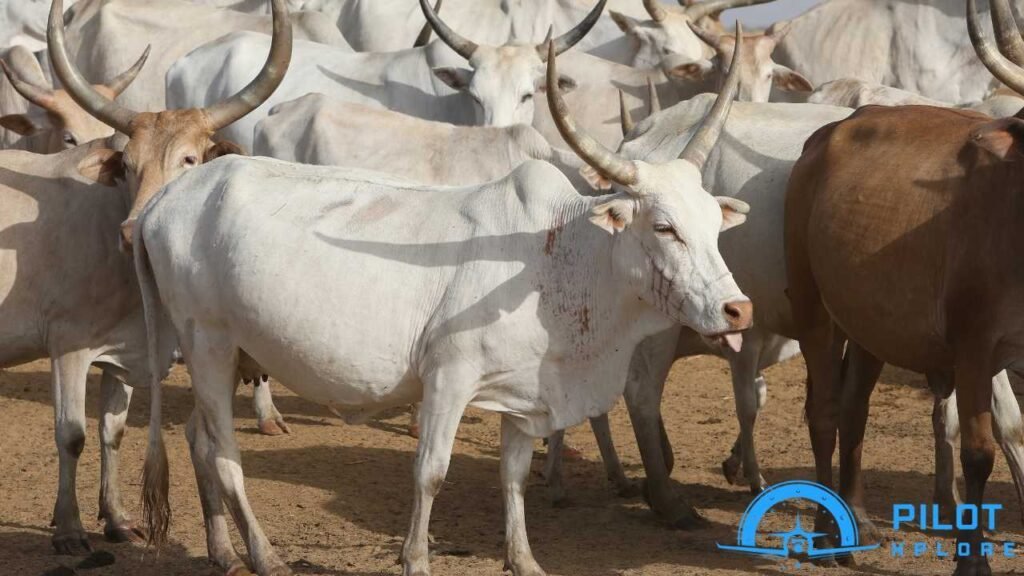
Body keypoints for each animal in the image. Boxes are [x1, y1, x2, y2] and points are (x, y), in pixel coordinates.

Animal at [786, 0, 1024, 569]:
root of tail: (827, 135)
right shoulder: (974, 347)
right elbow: (979, 454)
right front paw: (972, 562)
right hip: (812, 307)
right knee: (824, 411)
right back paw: (825, 535)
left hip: (871, 325)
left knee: (854, 409)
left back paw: (854, 518)